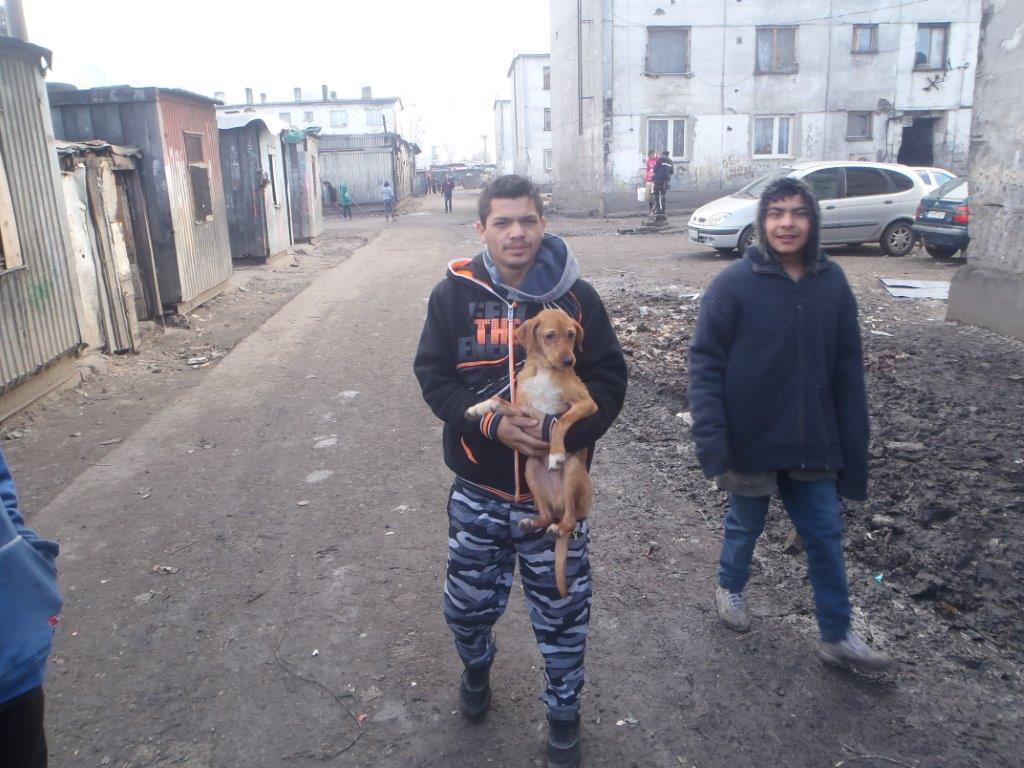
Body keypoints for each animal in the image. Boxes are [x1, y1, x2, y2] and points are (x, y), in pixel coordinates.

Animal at [465, 308, 598, 597]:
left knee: (569, 521)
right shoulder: (523, 409)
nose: (569, 360)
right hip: (530, 471)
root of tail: (558, 505)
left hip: (573, 473)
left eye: (571, 335)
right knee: (547, 516)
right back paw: (532, 522)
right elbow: (499, 401)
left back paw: (558, 526)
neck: (543, 370)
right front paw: (479, 408)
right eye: (550, 336)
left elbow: (558, 422)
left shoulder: (586, 404)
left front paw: (556, 453)